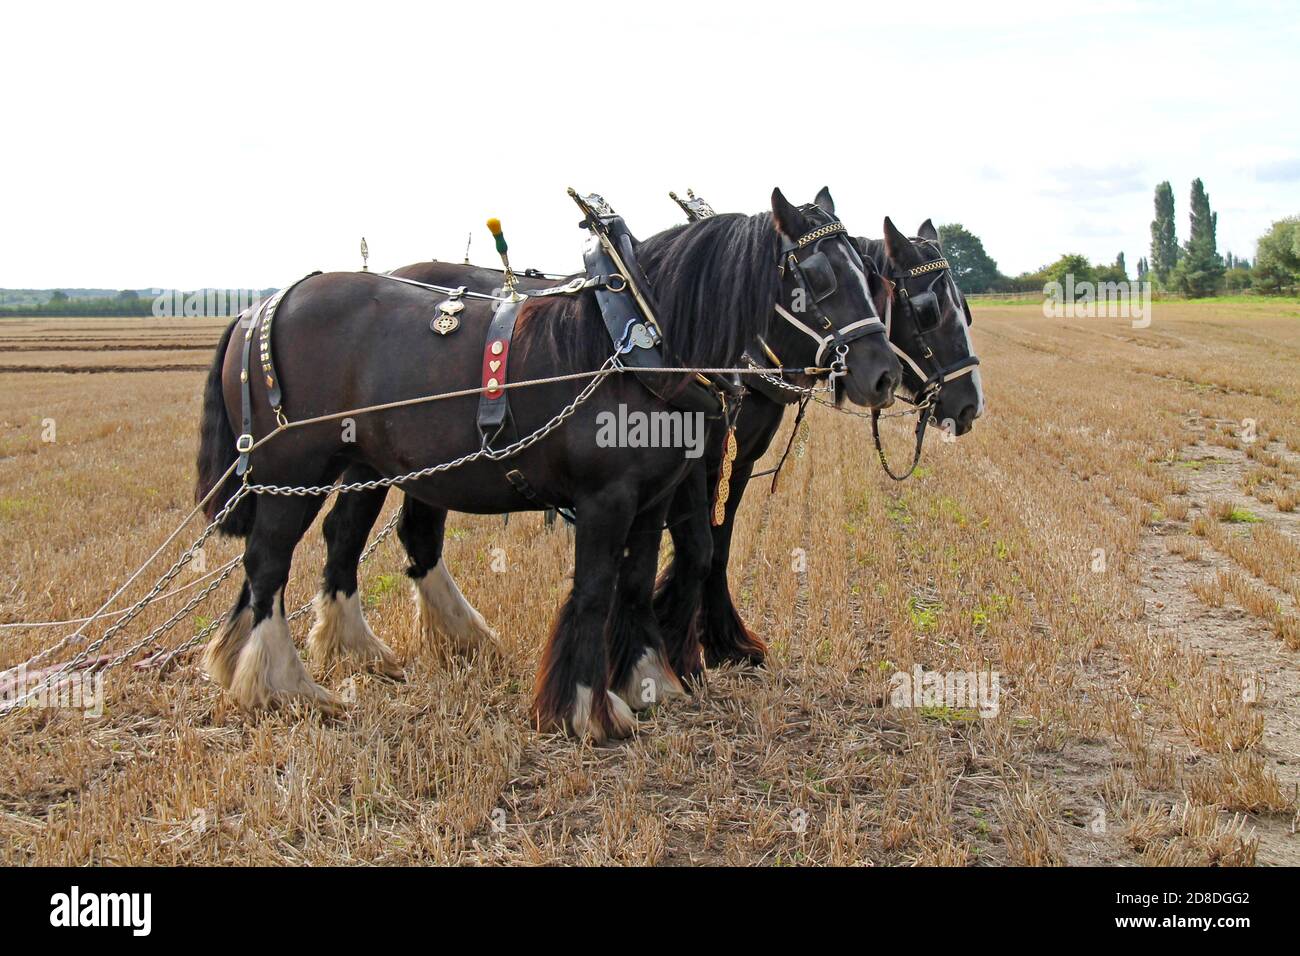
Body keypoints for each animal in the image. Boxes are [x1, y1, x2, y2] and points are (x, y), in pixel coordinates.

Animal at [194, 188, 902, 741]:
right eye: (816, 275)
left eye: (872, 276)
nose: (883, 374)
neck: (637, 342)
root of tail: (259, 309)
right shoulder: (606, 499)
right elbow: (593, 591)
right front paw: (587, 710)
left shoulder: (653, 497)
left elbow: (637, 582)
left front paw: (648, 680)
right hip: (295, 471)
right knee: (269, 564)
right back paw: (280, 684)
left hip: (365, 466)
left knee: (341, 545)